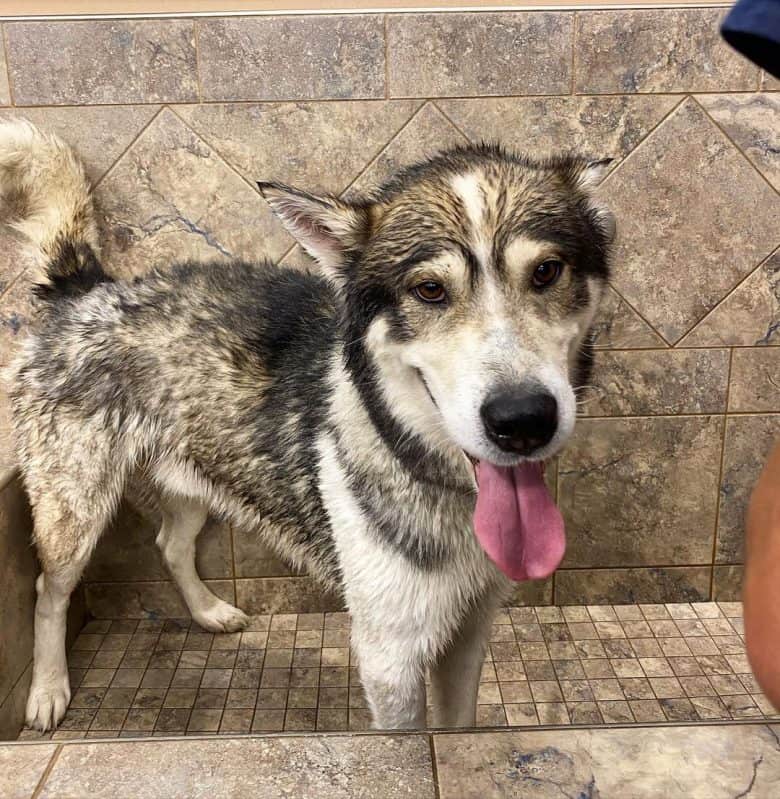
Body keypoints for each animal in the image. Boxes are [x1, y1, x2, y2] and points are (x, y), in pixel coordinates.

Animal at [0, 117, 616, 732]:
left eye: (546, 272)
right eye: (430, 290)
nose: (523, 419)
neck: (423, 469)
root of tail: (87, 288)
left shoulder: (468, 632)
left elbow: (457, 724)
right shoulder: (390, 659)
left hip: (194, 477)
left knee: (170, 544)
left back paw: (209, 612)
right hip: (75, 512)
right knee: (49, 589)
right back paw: (48, 690)